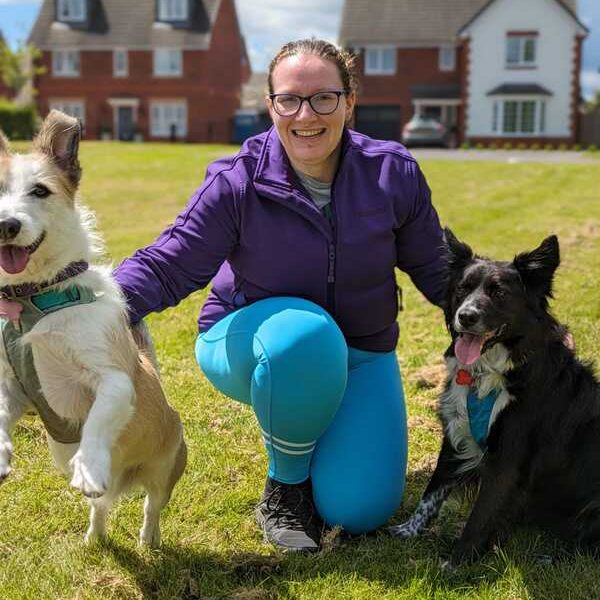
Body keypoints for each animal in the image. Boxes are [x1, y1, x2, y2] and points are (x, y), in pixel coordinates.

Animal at [0, 110, 186, 548]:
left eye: (39, 191)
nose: (5, 225)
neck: (35, 299)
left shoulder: (114, 379)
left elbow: (98, 420)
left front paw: (88, 465)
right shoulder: (15, 387)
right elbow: (0, 412)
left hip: (166, 469)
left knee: (152, 505)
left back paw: (148, 538)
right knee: (100, 508)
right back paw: (95, 538)